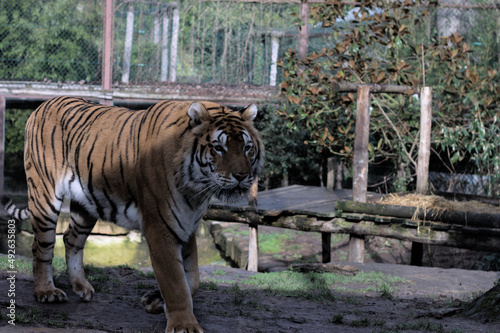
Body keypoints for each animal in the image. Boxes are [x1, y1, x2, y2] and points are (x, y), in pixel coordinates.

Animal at [0, 96, 266, 332]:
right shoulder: (161, 227)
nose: (242, 176)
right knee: (41, 246)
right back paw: (46, 291)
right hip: (44, 195)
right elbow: (175, 282)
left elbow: (193, 280)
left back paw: (81, 286)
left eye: (247, 147)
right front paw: (185, 326)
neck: (195, 189)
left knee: (71, 239)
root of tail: (41, 105)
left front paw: (156, 301)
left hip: (85, 205)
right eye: (219, 148)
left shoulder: (188, 227)